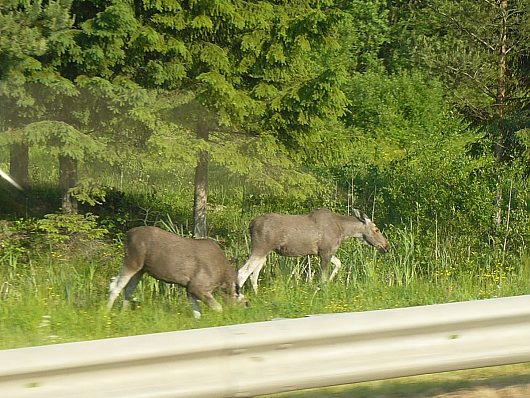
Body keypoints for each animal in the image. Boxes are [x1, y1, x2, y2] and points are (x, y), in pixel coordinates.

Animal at [108, 225, 243, 318]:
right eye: (242, 301)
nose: (241, 310)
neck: (222, 280)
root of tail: (128, 234)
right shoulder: (197, 286)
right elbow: (218, 307)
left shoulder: (189, 288)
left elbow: (197, 314)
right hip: (132, 261)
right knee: (114, 286)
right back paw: (106, 312)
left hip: (141, 269)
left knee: (128, 289)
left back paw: (122, 313)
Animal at [235, 208, 388, 292]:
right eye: (376, 229)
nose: (386, 246)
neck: (343, 231)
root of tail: (250, 225)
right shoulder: (325, 252)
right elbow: (323, 276)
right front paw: (322, 289)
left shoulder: (324, 252)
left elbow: (338, 264)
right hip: (260, 248)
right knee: (242, 272)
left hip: (265, 253)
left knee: (253, 275)